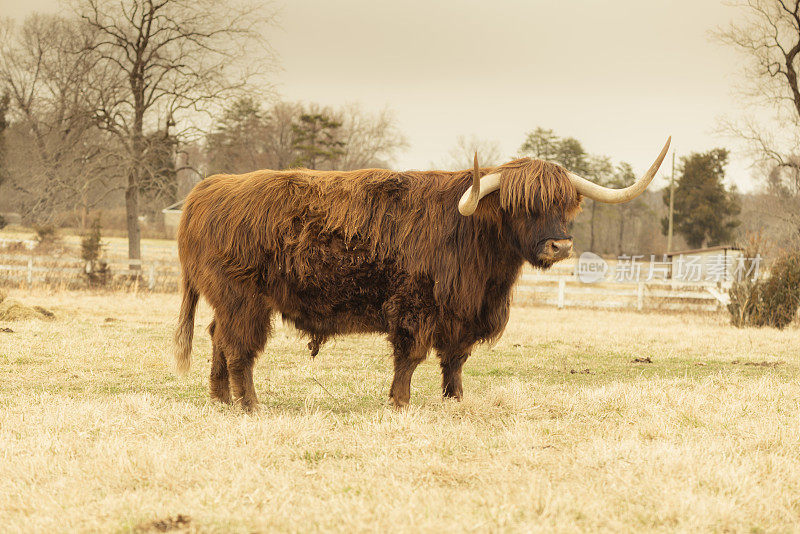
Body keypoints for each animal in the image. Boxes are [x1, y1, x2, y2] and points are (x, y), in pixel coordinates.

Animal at [173, 139, 668, 414]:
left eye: (566, 205)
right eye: (522, 206)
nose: (560, 246)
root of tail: (208, 189)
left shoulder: (465, 312)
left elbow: (456, 359)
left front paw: (455, 400)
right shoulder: (416, 305)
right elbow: (410, 356)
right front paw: (399, 402)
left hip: (228, 299)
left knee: (218, 337)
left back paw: (219, 399)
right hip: (244, 298)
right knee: (240, 348)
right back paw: (250, 405)